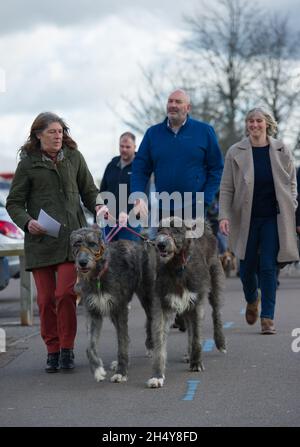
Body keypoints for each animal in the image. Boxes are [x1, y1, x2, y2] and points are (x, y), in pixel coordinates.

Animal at [69, 226, 156, 384]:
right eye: (76, 244)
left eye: (92, 243)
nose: (83, 262)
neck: (99, 274)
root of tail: (142, 243)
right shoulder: (94, 311)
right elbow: (90, 346)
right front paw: (97, 369)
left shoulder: (120, 309)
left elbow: (121, 344)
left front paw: (121, 372)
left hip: (147, 297)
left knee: (150, 321)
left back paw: (151, 346)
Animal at [146, 217, 226, 388]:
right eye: (159, 229)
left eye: (176, 229)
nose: (160, 244)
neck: (177, 267)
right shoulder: (162, 304)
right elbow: (160, 339)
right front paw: (157, 375)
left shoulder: (196, 303)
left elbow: (196, 336)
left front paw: (196, 363)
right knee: (189, 327)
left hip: (214, 280)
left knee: (216, 313)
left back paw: (220, 342)